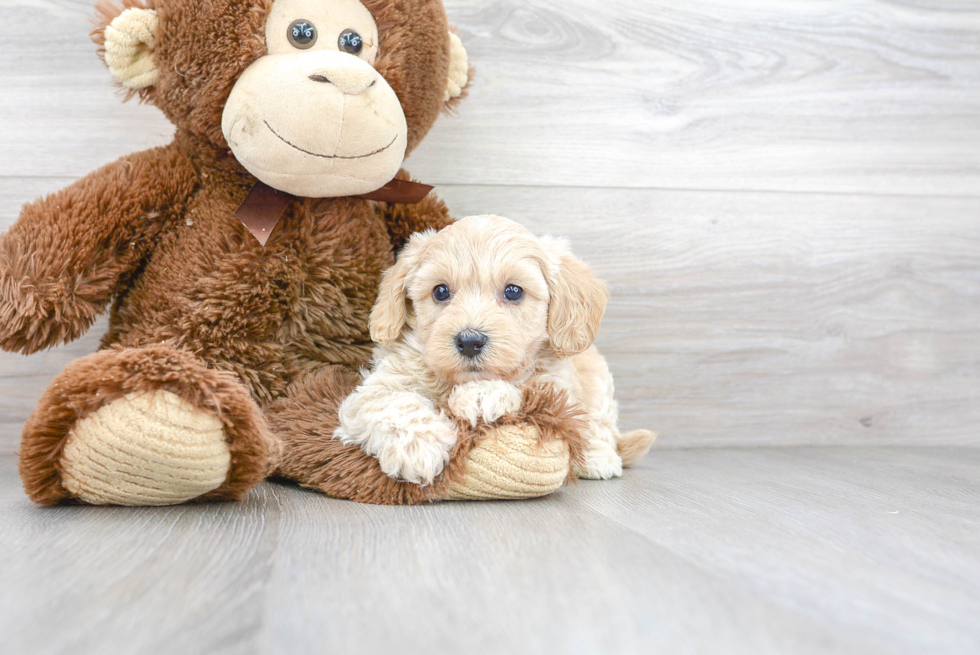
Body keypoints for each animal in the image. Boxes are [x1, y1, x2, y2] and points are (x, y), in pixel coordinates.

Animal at [334, 215, 656, 486]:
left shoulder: (556, 385)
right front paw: (417, 448)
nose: (469, 341)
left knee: (599, 424)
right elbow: (392, 403)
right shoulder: (375, 387)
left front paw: (480, 394)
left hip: (598, 380)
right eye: (440, 291)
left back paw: (598, 459)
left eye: (513, 291)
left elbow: (527, 386)